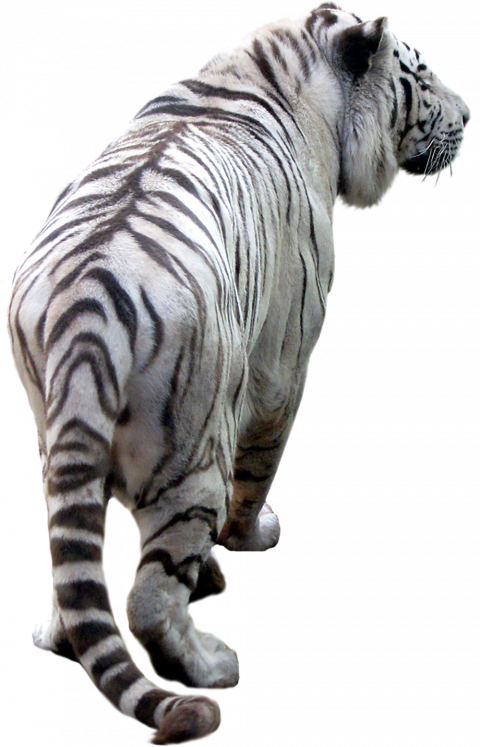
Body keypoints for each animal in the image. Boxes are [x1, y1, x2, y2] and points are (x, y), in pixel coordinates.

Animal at [7, 2, 472, 745]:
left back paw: (60, 635)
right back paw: (209, 668)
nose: (470, 114)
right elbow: (257, 471)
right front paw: (246, 541)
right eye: (424, 78)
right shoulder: (282, 360)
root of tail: (87, 309)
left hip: (59, 429)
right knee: (149, 597)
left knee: (73, 562)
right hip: (190, 450)